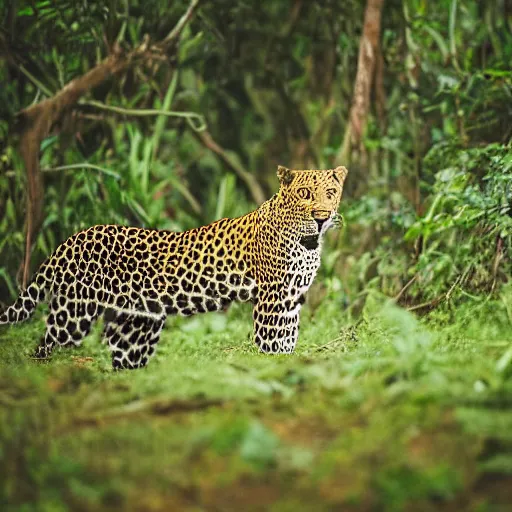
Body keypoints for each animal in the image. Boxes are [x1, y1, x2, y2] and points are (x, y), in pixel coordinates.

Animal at [0, 166, 348, 370]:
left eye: (331, 193)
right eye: (304, 193)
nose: (322, 216)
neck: (308, 242)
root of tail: (70, 240)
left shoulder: (292, 297)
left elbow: (289, 338)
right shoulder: (273, 298)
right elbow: (272, 341)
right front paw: (273, 367)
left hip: (136, 326)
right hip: (73, 314)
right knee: (43, 344)